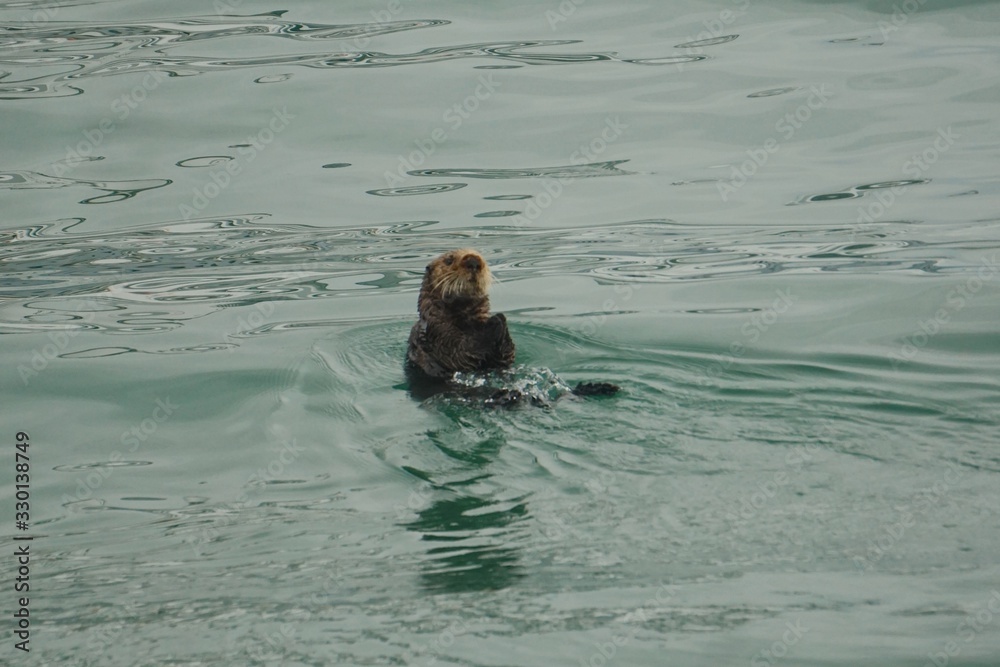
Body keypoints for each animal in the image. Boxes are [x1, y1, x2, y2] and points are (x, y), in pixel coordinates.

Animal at [407, 248, 619, 403]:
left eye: (480, 254)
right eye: (449, 260)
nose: (474, 261)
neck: (465, 320)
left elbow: (506, 356)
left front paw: (499, 319)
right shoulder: (438, 332)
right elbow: (460, 352)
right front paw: (494, 320)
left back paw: (598, 387)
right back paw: (507, 396)